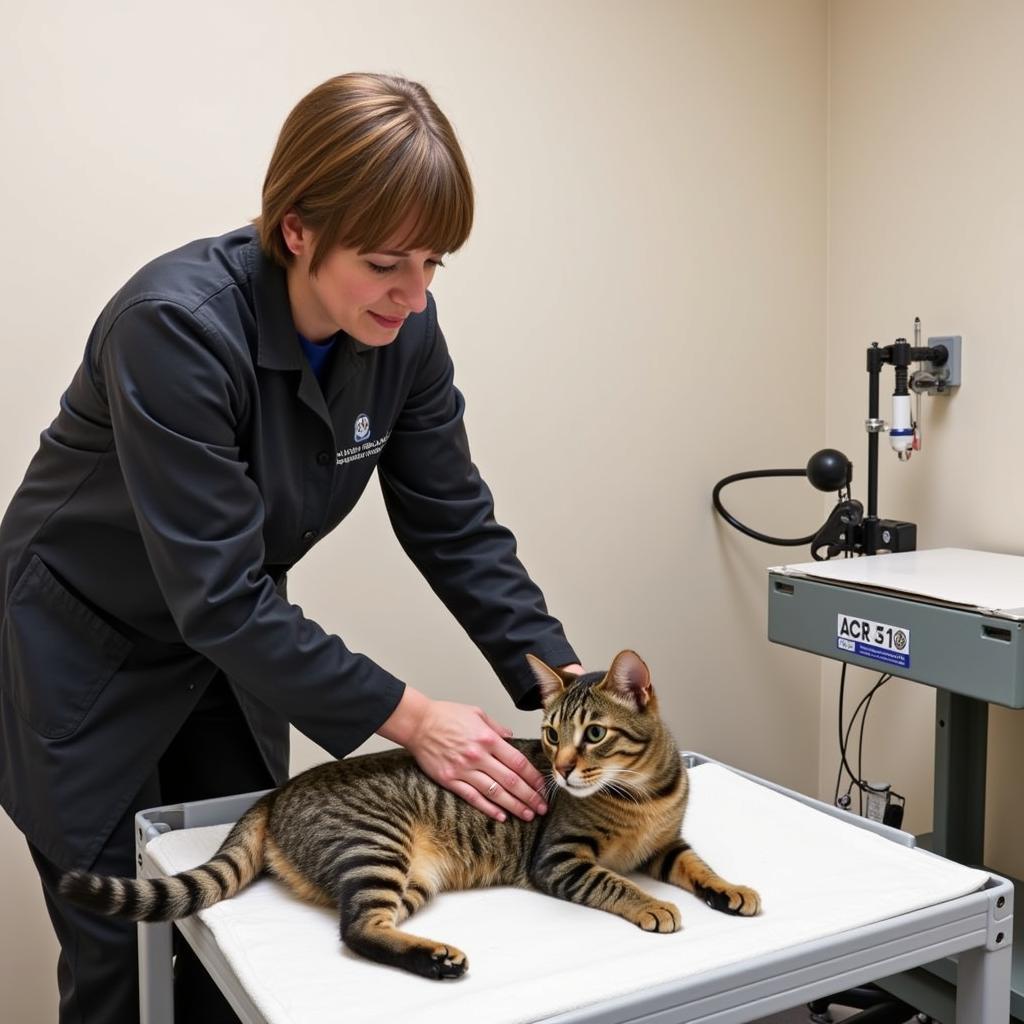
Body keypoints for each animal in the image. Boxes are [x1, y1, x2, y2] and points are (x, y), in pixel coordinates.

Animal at [58, 651, 761, 978]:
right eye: (550, 734)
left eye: (592, 735)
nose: (560, 769)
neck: (640, 797)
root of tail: (275, 794)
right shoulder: (560, 860)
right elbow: (614, 882)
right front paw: (653, 905)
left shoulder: (667, 845)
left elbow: (698, 865)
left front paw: (729, 890)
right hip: (377, 848)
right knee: (354, 931)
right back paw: (439, 960)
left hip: (413, 881)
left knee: (369, 924)